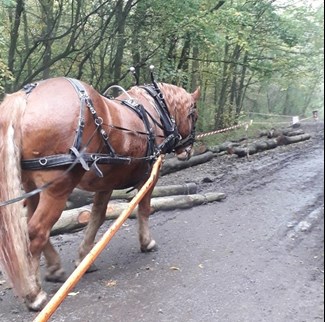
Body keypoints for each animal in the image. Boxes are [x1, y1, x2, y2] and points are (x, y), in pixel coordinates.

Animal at [0, 76, 199, 310]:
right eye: (193, 115)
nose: (188, 150)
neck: (154, 114)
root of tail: (26, 97)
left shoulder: (106, 183)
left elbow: (97, 216)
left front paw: (84, 256)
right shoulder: (150, 175)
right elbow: (144, 208)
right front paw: (146, 242)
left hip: (31, 185)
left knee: (32, 226)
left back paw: (54, 269)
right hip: (57, 188)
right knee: (37, 229)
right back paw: (34, 294)